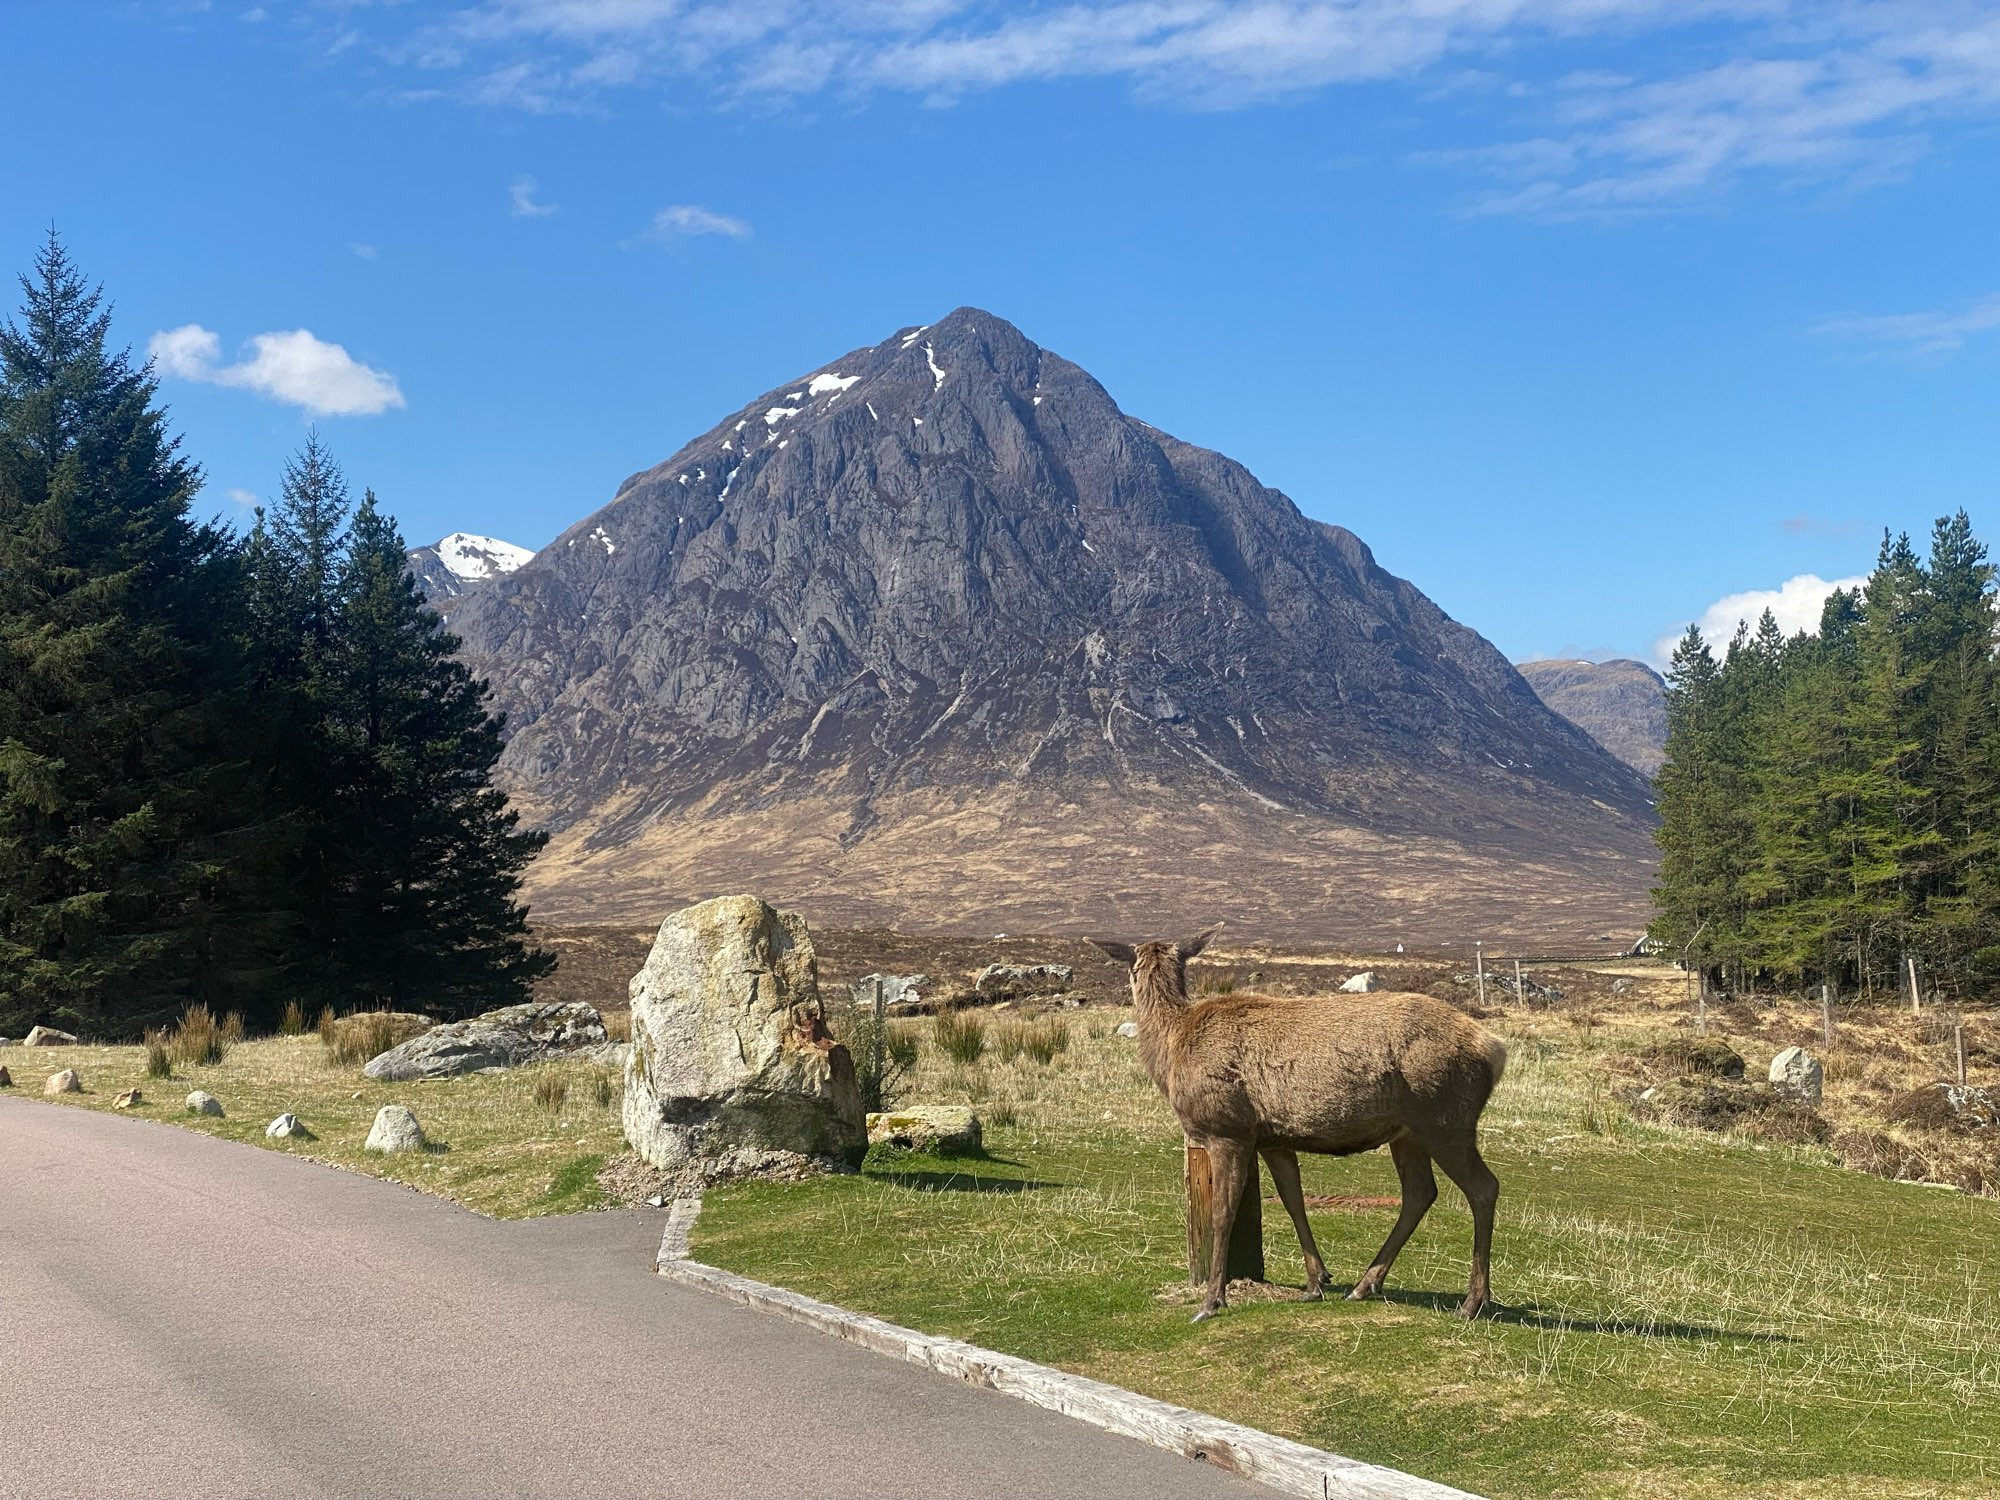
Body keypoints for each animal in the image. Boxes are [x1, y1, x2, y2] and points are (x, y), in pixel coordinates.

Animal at [1096, 928, 1504, 1328]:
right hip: (1408, 1132)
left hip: (1446, 1119)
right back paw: (1365, 1284)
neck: (1171, 1049)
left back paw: (1473, 1302)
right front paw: (1315, 1281)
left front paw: (1212, 1301)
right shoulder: (1273, 1139)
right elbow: (1293, 1199)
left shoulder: (1227, 1129)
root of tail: (1495, 1050)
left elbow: (1222, 1213)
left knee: (1483, 1187)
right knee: (1420, 1192)